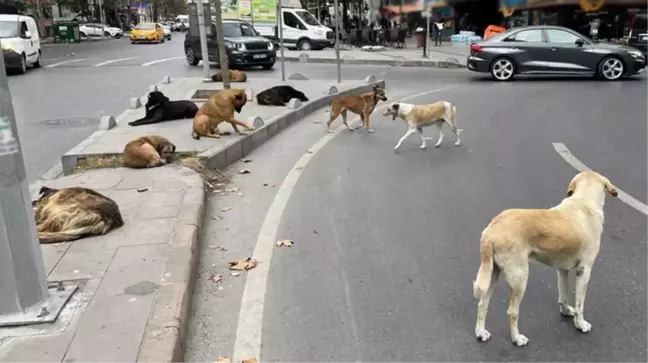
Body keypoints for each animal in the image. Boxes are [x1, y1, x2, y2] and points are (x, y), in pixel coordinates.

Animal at [476, 172, 616, 348]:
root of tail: (492, 229)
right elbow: (580, 304)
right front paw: (580, 324)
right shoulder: (584, 271)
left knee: (482, 304)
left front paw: (566, 311)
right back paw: (517, 339)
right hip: (520, 278)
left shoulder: (562, 270)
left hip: (492, 274)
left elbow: (563, 294)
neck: (583, 202)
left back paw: (480, 333)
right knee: (512, 312)